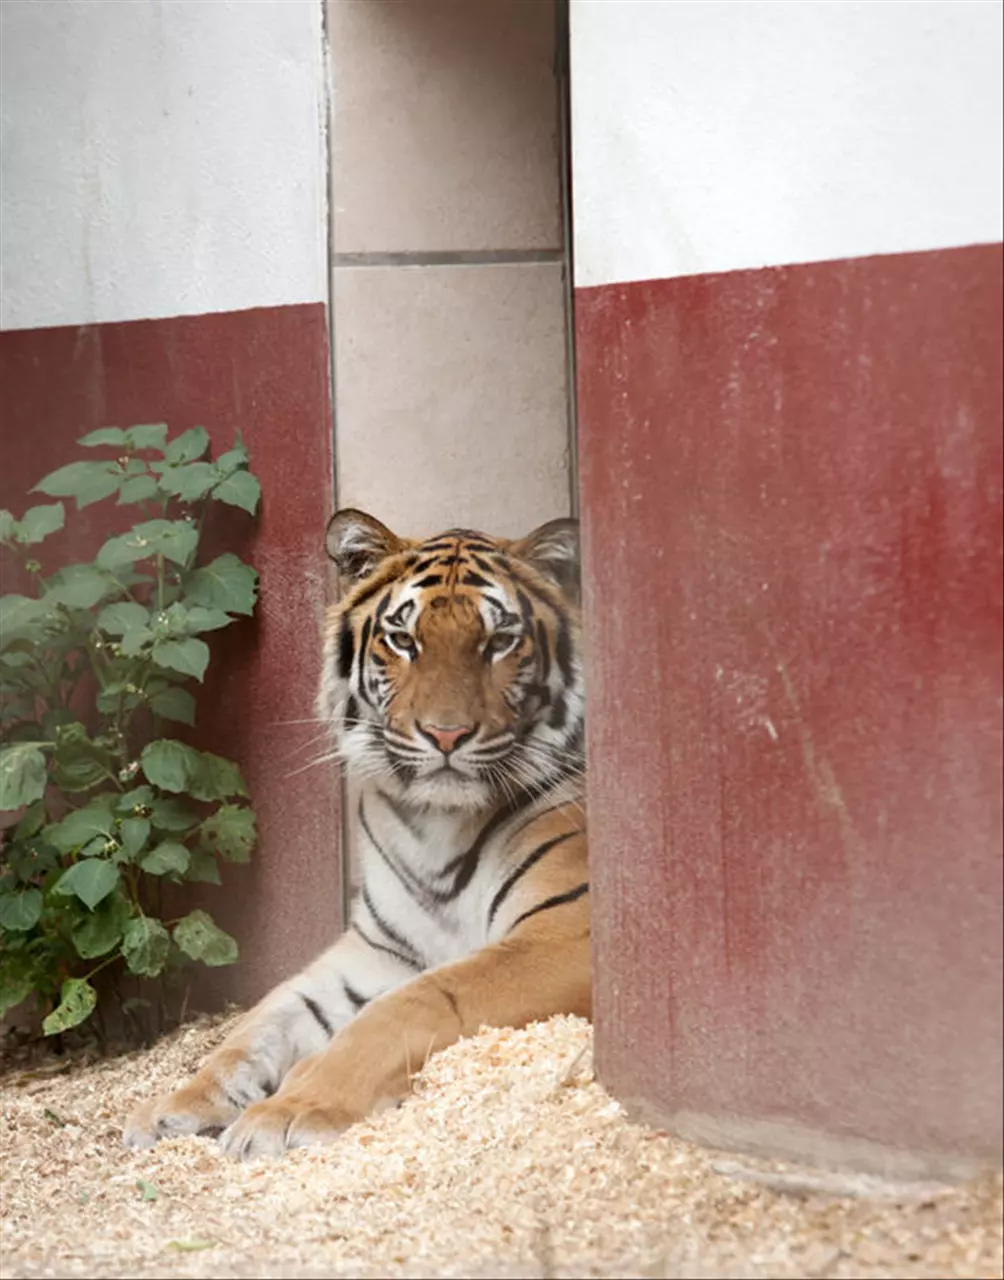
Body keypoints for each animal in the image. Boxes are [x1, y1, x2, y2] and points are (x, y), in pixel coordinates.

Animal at [126, 504, 596, 1157]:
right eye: (404, 640)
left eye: (499, 641)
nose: (446, 735)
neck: (438, 826)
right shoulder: (379, 949)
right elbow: (260, 1022)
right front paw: (173, 1107)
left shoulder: (563, 934)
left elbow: (411, 1005)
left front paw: (290, 1108)